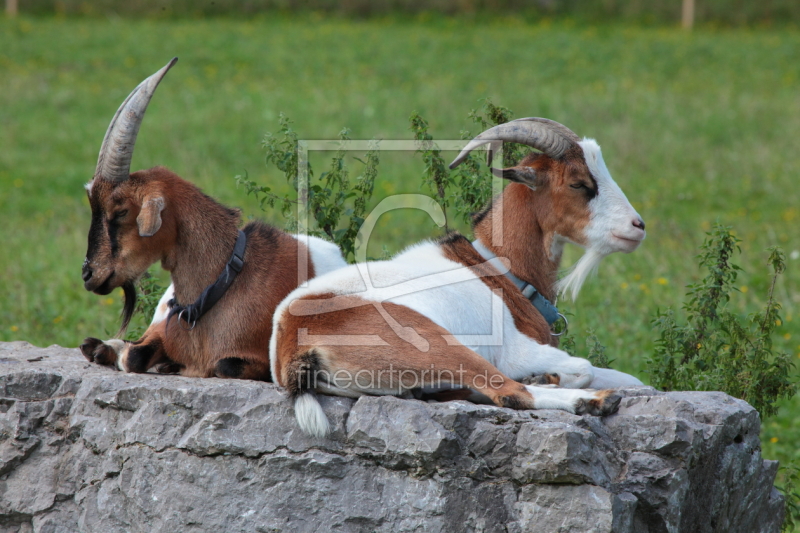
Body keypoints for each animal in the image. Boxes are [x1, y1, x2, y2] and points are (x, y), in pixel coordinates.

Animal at [77, 59, 346, 378]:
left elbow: (224, 364)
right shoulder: (164, 329)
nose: (88, 274)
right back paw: (97, 347)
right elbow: (136, 355)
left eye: (120, 211)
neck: (225, 281)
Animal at [272, 118, 648, 434]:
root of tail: (292, 342)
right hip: (438, 346)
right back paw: (593, 400)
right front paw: (555, 377)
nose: (637, 226)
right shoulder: (515, 350)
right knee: (509, 391)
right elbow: (583, 368)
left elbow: (634, 379)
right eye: (579, 183)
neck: (500, 273)